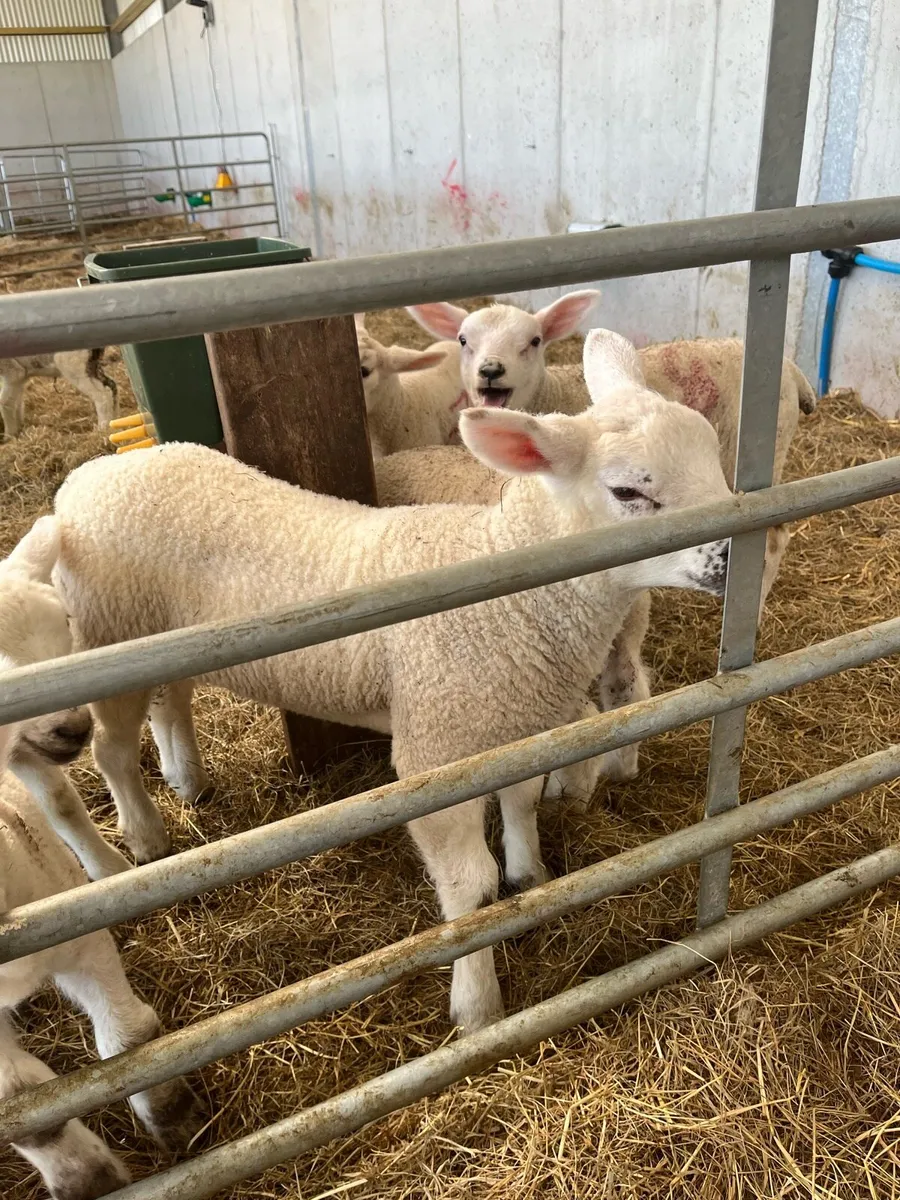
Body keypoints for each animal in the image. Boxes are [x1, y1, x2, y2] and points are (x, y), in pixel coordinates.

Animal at [0, 518, 204, 1200]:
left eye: (63, 621)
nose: (70, 725)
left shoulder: (68, 932)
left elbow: (128, 1037)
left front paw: (172, 1110)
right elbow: (25, 1106)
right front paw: (86, 1178)